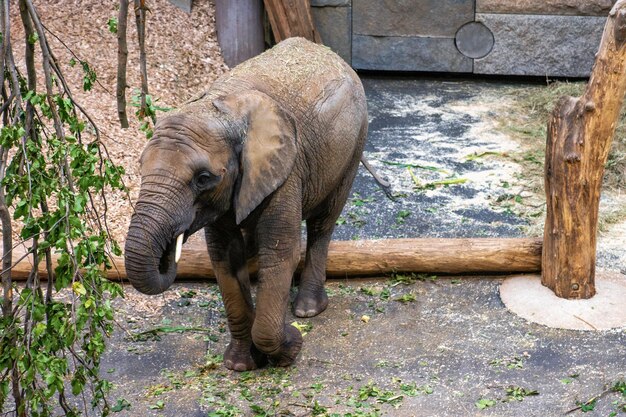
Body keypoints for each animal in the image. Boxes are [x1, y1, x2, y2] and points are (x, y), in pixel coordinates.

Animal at [125, 37, 370, 368]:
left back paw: (307, 309)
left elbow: (280, 254)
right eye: (140, 168)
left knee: (324, 222)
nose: (167, 252)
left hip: (354, 144)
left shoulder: (285, 172)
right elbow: (225, 258)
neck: (219, 109)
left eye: (203, 178)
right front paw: (240, 364)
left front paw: (291, 343)